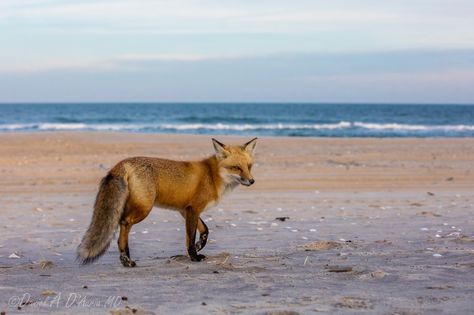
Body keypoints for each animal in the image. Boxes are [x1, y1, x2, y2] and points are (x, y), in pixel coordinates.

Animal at [77, 138, 258, 266]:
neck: (213, 176)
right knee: (124, 223)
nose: (252, 181)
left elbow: (204, 231)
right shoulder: (193, 209)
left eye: (249, 166)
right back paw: (126, 259)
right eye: (236, 168)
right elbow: (190, 237)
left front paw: (198, 247)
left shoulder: (186, 210)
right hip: (144, 209)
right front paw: (194, 256)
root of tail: (121, 163)